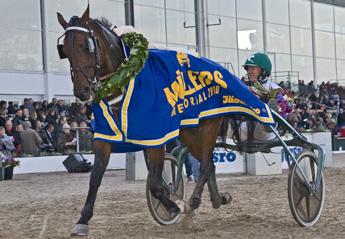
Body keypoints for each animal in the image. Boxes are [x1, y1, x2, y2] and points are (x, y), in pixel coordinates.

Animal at [57, 7, 231, 235]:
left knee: (205, 164)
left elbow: (156, 184)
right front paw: (83, 220)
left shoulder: (155, 137)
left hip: (207, 126)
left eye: (86, 46)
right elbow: (95, 178)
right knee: (208, 162)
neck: (124, 78)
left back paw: (193, 202)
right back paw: (216, 199)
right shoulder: (105, 137)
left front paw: (174, 206)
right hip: (188, 132)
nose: (82, 91)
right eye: (65, 51)